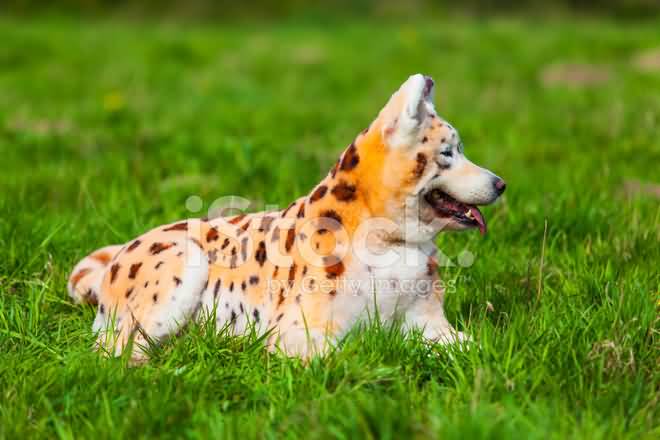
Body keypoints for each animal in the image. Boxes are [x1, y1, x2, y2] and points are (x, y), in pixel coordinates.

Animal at [68, 75, 506, 360]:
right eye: (448, 153)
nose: (501, 184)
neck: (388, 244)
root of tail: (118, 254)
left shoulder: (430, 325)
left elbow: (473, 348)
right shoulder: (299, 335)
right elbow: (354, 353)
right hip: (181, 268)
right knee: (115, 350)